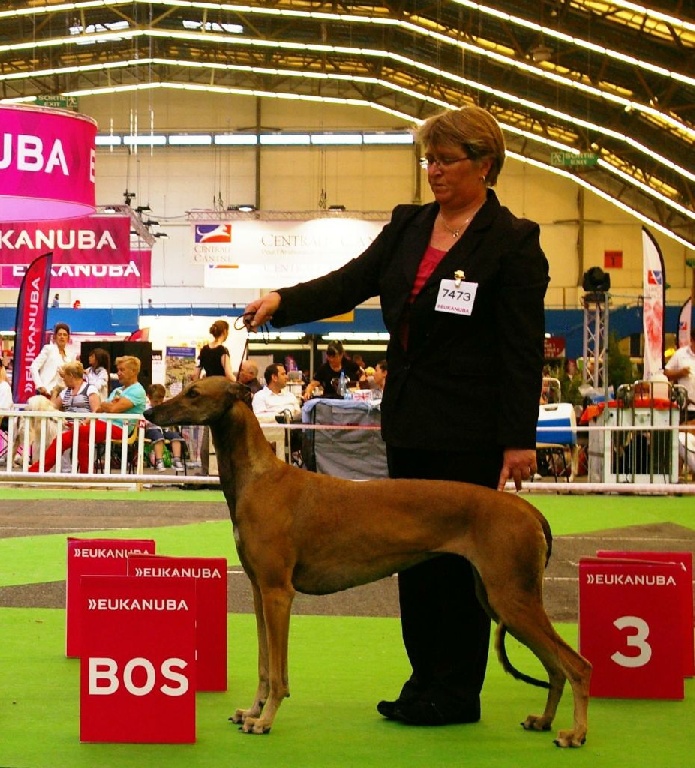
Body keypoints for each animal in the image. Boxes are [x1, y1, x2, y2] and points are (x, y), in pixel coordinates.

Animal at [147, 378, 592, 744]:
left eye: (193, 394)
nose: (151, 413)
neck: (259, 478)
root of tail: (525, 508)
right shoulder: (260, 591)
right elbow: (262, 664)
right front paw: (251, 711)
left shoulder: (278, 593)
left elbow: (277, 672)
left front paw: (266, 719)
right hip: (501, 598)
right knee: (555, 667)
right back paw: (544, 721)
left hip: (511, 598)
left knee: (577, 665)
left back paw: (575, 733)